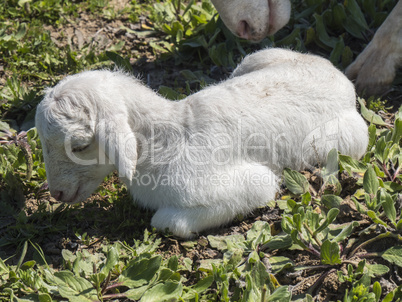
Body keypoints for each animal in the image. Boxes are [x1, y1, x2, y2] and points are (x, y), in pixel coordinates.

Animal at [36, 47, 370, 238]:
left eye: (79, 146)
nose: (56, 193)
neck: (162, 142)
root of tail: (340, 78)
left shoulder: (253, 183)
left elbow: (165, 221)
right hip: (259, 57)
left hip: (340, 140)